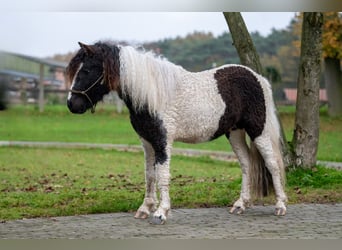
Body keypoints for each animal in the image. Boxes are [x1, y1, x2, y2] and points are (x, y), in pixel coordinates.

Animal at [66, 41, 286, 225]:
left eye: (87, 70)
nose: (71, 104)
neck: (152, 94)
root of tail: (259, 79)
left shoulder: (162, 142)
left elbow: (162, 175)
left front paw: (161, 212)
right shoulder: (147, 142)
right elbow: (149, 174)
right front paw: (145, 208)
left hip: (258, 131)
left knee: (272, 164)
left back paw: (280, 205)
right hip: (235, 132)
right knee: (247, 164)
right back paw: (241, 204)